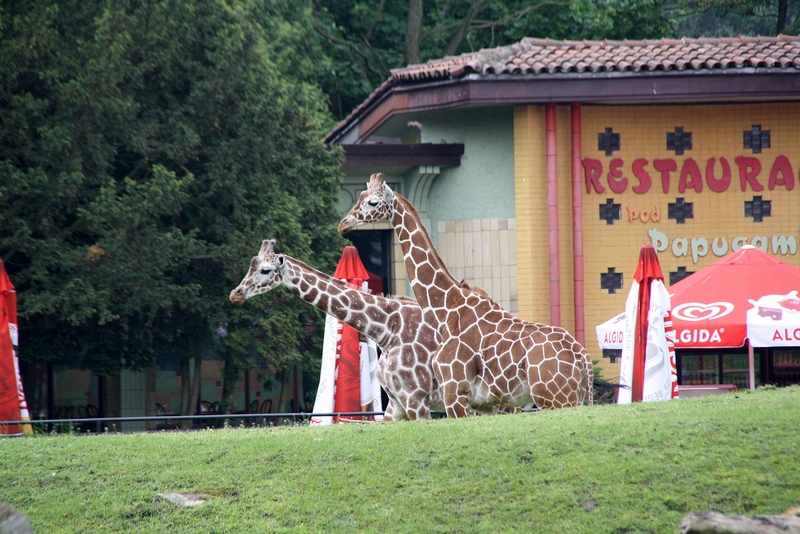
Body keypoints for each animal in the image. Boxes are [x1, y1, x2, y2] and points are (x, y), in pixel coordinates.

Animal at [230, 239, 444, 421]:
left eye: (266, 270)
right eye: (250, 266)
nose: (235, 294)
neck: (388, 331)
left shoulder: (415, 396)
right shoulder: (395, 402)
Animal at [339, 173, 593, 418]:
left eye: (373, 202)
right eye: (360, 196)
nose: (343, 224)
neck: (447, 308)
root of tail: (584, 358)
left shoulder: (455, 392)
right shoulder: (478, 402)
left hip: (554, 398)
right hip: (571, 397)